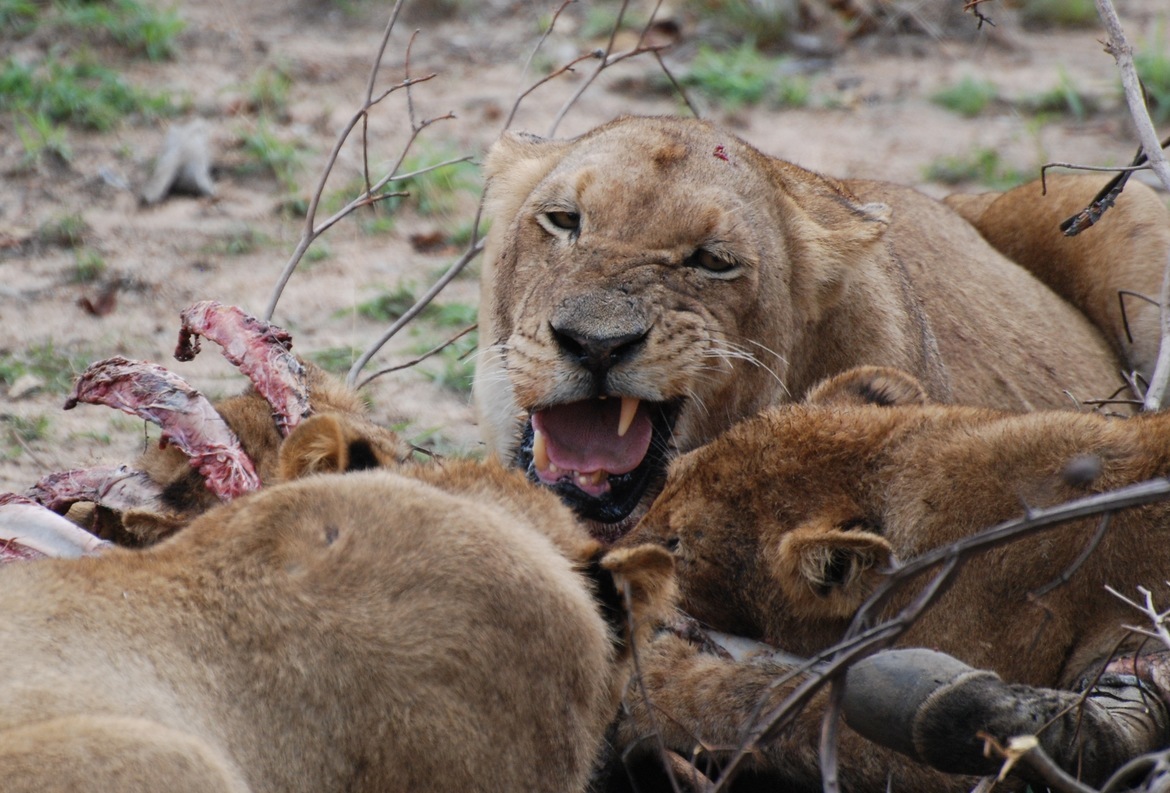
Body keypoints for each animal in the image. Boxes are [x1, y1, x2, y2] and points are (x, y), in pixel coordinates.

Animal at [613, 367, 1170, 791]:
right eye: (669, 480)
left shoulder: (966, 751)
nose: (603, 563)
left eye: (677, 546)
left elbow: (781, 700)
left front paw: (655, 679)